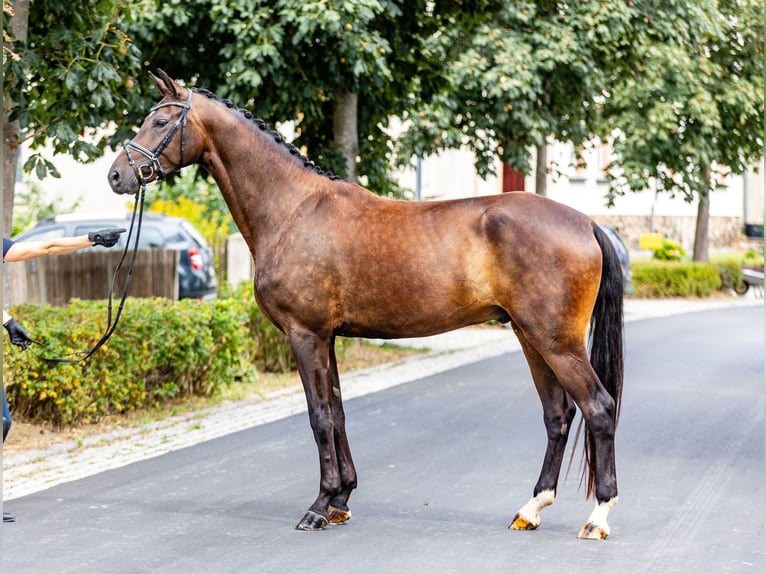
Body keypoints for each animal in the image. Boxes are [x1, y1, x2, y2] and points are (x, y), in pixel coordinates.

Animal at [108, 70, 624, 544]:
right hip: (530, 337)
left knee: (598, 408)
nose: (116, 175)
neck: (293, 208)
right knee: (558, 416)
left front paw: (318, 507)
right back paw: (530, 510)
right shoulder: (328, 337)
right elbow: (337, 414)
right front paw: (341, 500)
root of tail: (586, 223)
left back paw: (597, 517)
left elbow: (318, 418)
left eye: (160, 121)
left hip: (556, 342)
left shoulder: (305, 335)